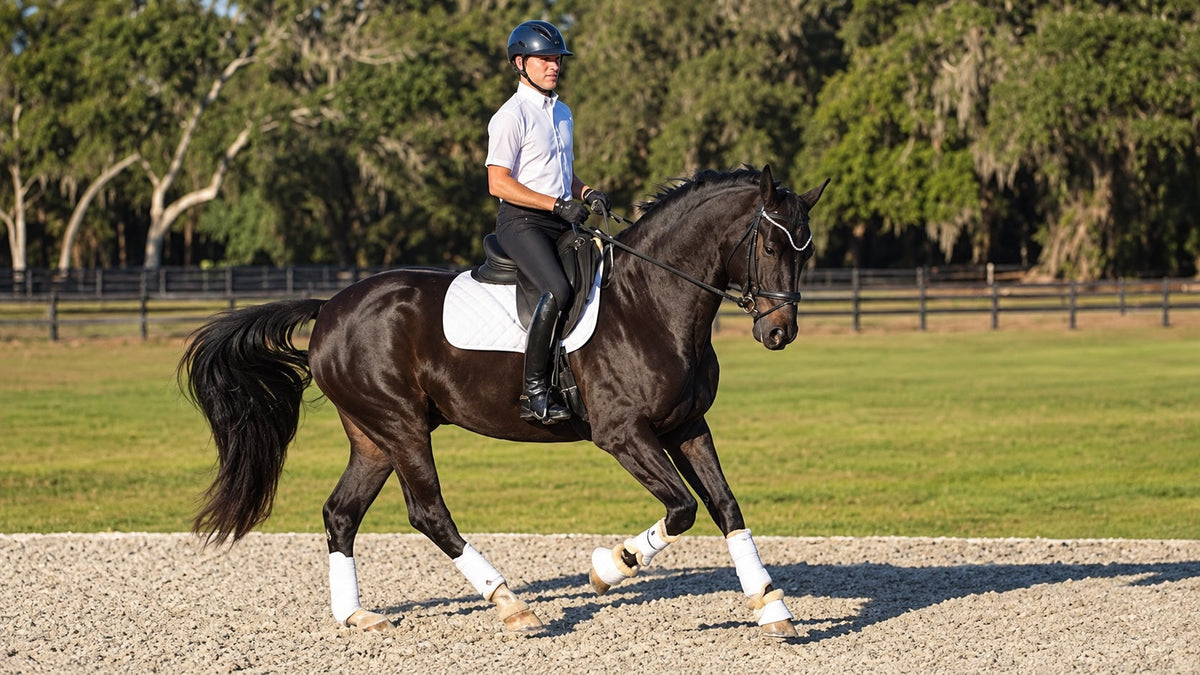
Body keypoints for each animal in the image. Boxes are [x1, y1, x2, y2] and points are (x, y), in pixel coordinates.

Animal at [179, 165, 827, 638]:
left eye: (807, 252)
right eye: (771, 246)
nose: (780, 333)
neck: (651, 302)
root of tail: (331, 308)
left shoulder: (688, 425)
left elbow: (725, 507)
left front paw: (771, 607)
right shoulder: (623, 434)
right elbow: (682, 509)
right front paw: (607, 568)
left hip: (374, 437)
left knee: (341, 513)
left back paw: (356, 616)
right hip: (402, 426)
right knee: (428, 513)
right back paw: (511, 605)